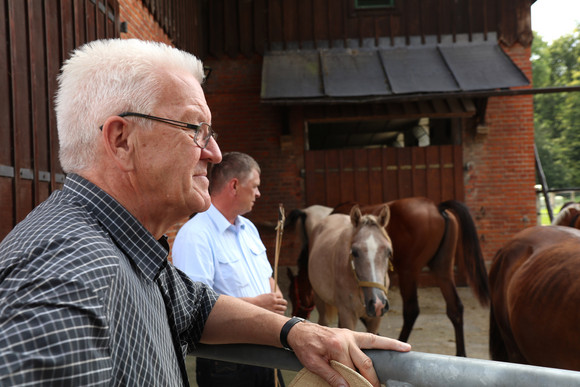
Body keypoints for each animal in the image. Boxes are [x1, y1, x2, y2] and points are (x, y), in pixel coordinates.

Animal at [310, 205, 392, 334]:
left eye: (389, 252)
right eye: (354, 252)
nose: (378, 304)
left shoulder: (375, 319)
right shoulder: (348, 314)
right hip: (319, 299)